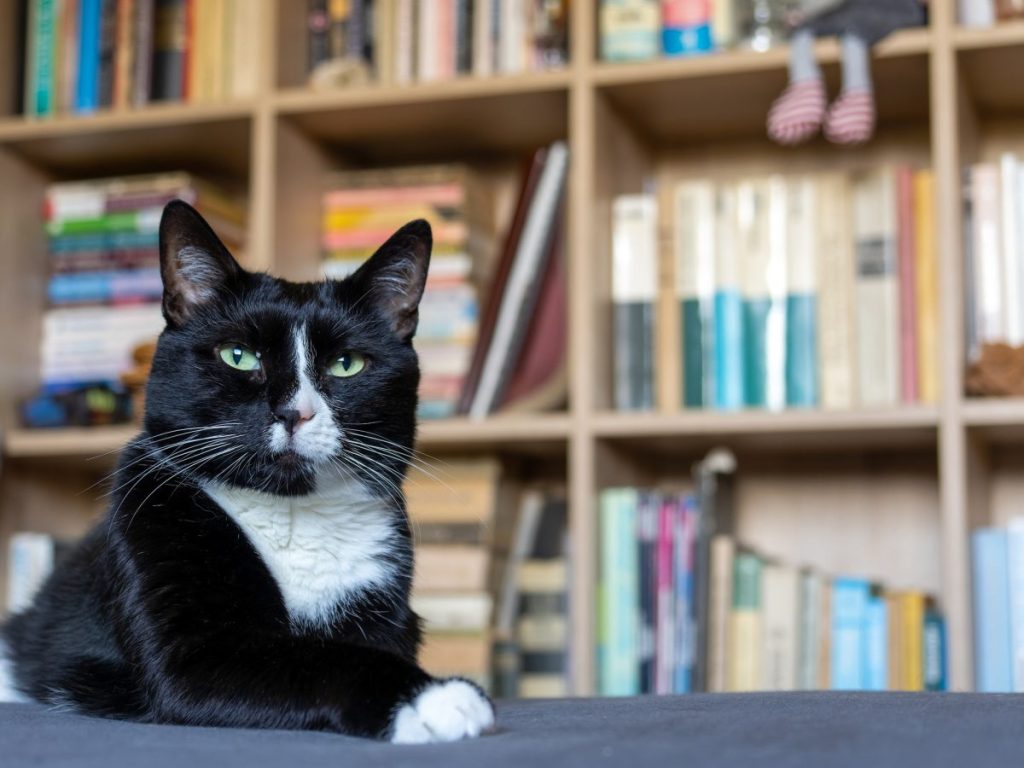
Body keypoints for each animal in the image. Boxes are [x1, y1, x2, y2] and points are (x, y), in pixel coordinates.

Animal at [0, 201, 495, 741]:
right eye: (238, 356)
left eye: (347, 364)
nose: (295, 412)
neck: (292, 513)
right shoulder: (185, 641)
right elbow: (315, 657)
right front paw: (434, 697)